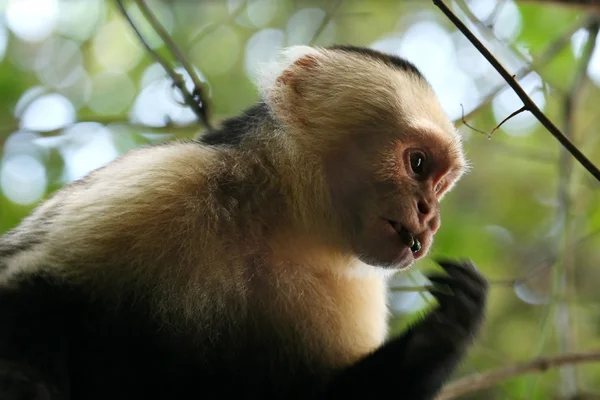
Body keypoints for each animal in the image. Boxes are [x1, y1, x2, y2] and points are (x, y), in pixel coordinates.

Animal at [0, 45, 488, 398]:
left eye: (441, 185)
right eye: (418, 164)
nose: (430, 216)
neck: (274, 221)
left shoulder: (352, 285)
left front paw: (445, 331)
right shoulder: (168, 179)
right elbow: (26, 281)